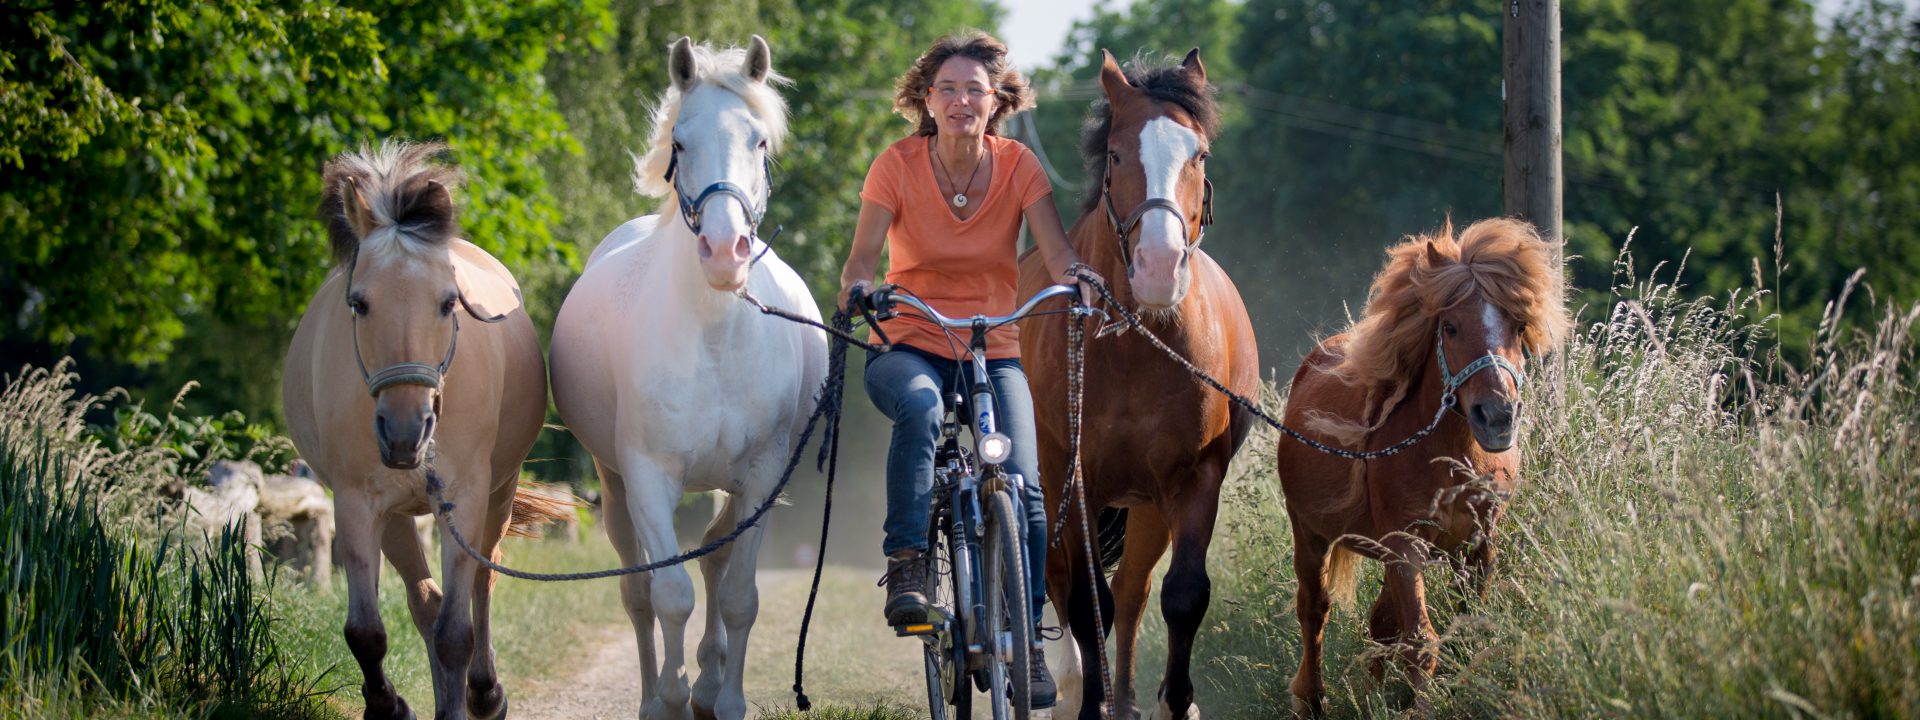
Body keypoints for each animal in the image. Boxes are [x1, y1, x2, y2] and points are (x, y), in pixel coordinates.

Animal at [284, 142, 564, 720]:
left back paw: (483, 693)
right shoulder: (355, 503)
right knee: (425, 601)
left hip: (498, 495)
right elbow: (366, 632)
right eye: (359, 303)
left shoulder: (465, 498)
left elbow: (456, 632)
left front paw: (467, 701)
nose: (405, 431)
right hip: (395, 515)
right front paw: (390, 707)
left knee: (482, 581)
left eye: (447, 301)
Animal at [552, 36, 829, 720]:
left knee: (716, 555)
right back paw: (659, 694)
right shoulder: (650, 477)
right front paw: (671, 696)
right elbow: (669, 594)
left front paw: (722, 698)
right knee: (639, 591)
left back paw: (706, 680)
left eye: (759, 140)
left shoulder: (760, 477)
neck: (713, 336)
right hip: (615, 485)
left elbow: (738, 595)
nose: (724, 252)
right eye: (679, 142)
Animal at [1021, 48, 1259, 718]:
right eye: (1119, 154)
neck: (1133, 345)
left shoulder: (1193, 479)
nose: (1159, 267)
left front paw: (1174, 702)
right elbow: (1083, 601)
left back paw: (1123, 696)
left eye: (1198, 154)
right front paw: (1088, 701)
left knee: (1131, 591)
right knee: (1065, 582)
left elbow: (1182, 595)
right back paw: (1080, 686)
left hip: (1148, 504)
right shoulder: (1074, 476)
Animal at [1267, 218, 1566, 718]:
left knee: (1380, 621)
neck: (1452, 460)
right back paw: (1312, 699)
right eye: (1449, 326)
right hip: (1310, 533)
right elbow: (1421, 641)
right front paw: (1423, 706)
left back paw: (1373, 692)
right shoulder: (1404, 545)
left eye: (1519, 324)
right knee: (1314, 607)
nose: (1498, 415)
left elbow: (1462, 626)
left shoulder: (1478, 545)